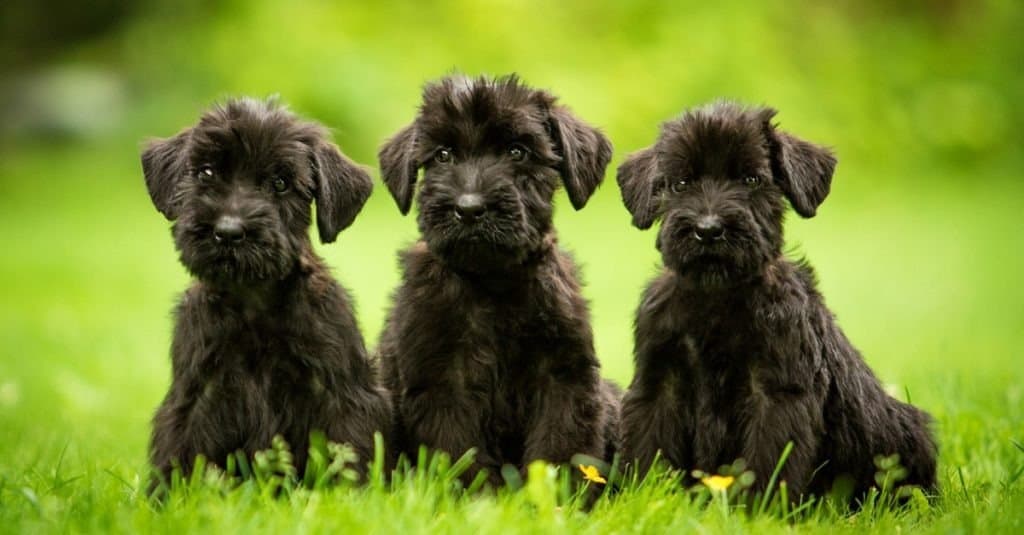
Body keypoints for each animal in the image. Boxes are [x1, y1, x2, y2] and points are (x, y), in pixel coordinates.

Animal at [146, 97, 393, 489]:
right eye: (206, 173)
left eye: (280, 183)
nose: (228, 231)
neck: (253, 302)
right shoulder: (196, 393)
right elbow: (179, 451)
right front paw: (168, 498)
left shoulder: (341, 392)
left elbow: (349, 449)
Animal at [610, 101, 937, 498]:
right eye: (681, 183)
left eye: (751, 180)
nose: (708, 230)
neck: (716, 296)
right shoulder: (659, 384)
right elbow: (647, 451)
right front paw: (641, 498)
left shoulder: (776, 393)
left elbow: (767, 461)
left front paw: (759, 507)